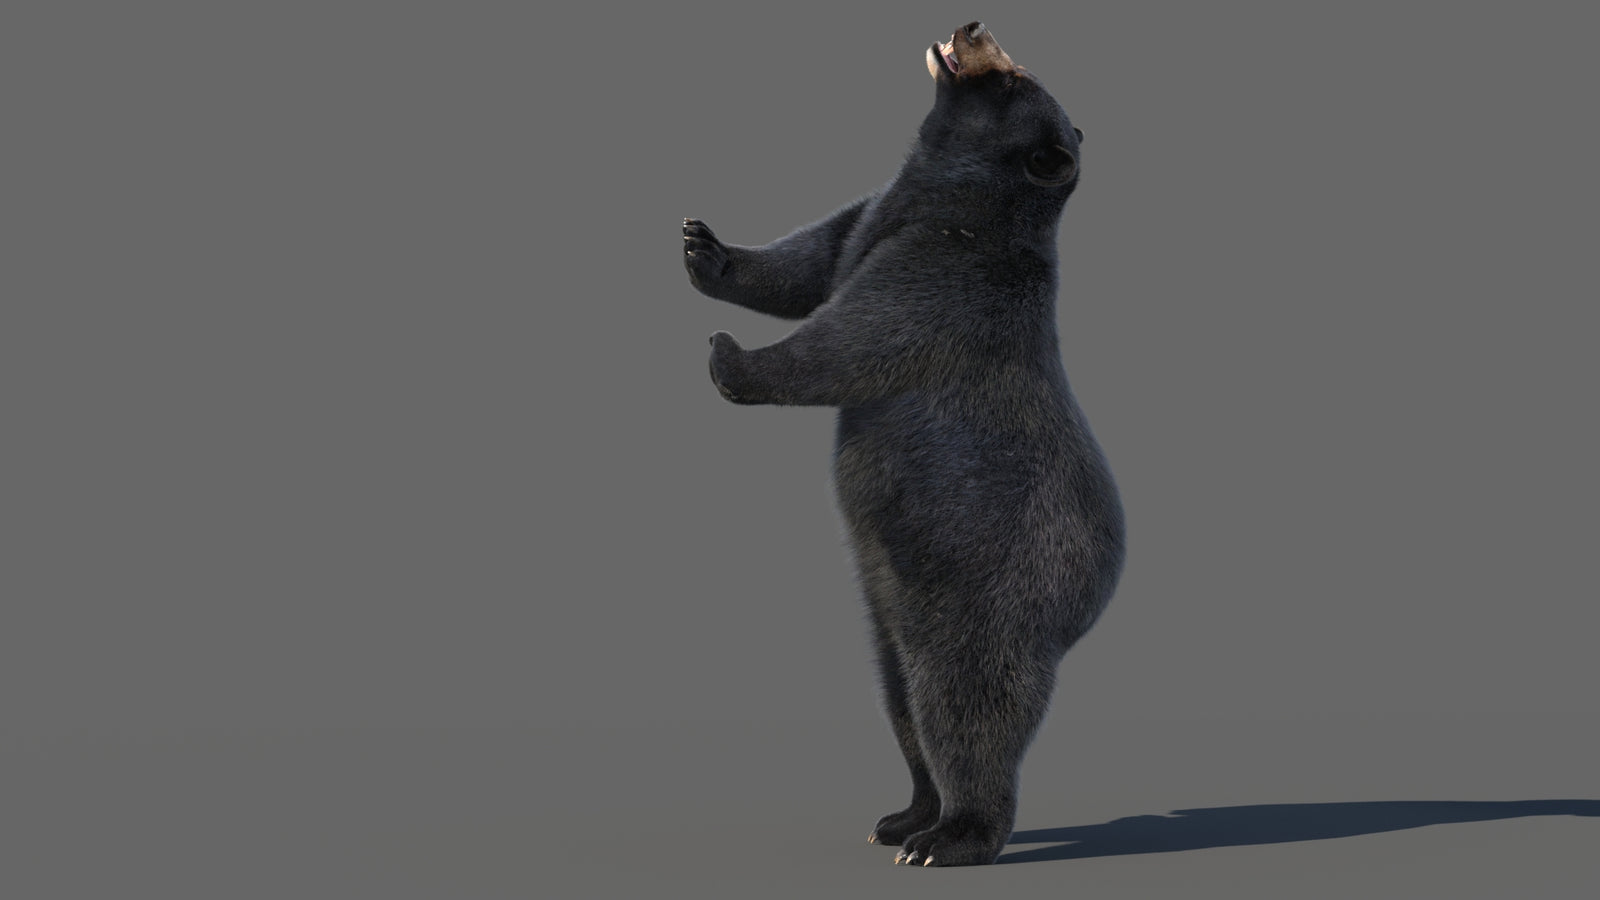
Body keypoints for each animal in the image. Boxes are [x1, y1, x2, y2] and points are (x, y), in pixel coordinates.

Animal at [681, 22, 1125, 868]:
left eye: (1013, 80)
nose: (971, 26)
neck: (944, 198)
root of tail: (1091, 603)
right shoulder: (871, 219)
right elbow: (809, 261)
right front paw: (703, 247)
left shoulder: (949, 272)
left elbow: (855, 336)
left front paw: (728, 355)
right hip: (889, 611)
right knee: (901, 706)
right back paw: (904, 815)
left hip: (988, 597)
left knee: (964, 710)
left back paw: (952, 836)